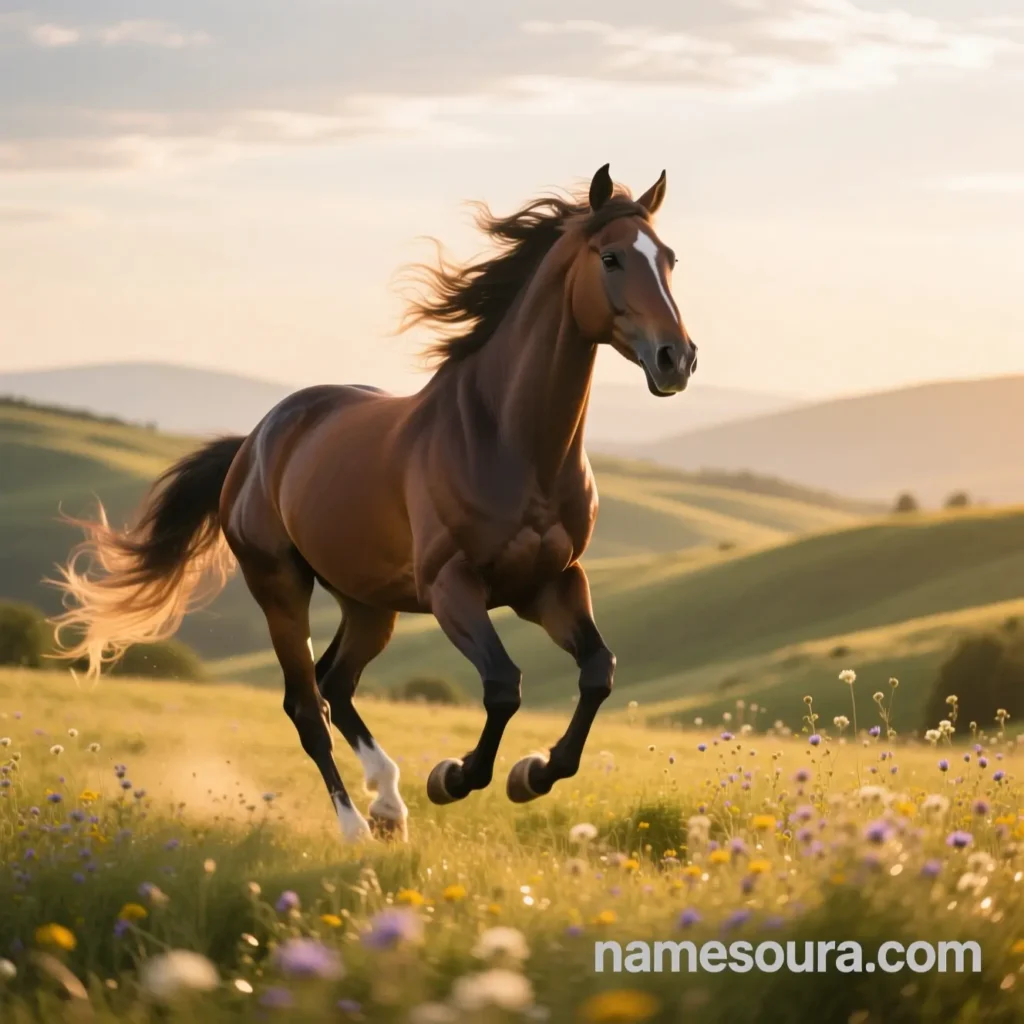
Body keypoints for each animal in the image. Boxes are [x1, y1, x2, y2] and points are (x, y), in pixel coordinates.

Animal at [49, 163, 698, 843]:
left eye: (670, 259)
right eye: (611, 257)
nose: (676, 359)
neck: (510, 443)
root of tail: (254, 442)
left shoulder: (551, 582)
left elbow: (598, 671)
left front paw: (532, 775)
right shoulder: (452, 587)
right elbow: (502, 686)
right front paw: (452, 778)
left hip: (368, 604)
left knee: (335, 682)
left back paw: (388, 803)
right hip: (280, 586)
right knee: (305, 704)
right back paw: (357, 825)